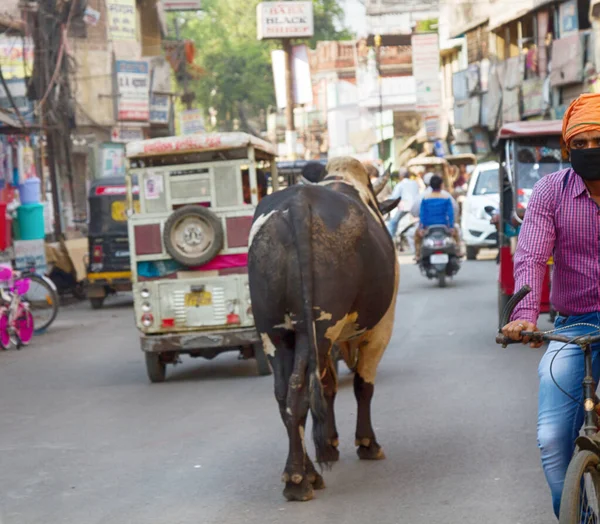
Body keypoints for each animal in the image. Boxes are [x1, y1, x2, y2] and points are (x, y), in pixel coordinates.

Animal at [246, 158, 400, 502]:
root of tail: (297, 203)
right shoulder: (380, 330)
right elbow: (362, 386)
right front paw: (367, 443)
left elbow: (328, 388)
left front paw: (330, 444)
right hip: (316, 329)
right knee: (300, 391)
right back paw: (299, 479)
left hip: (274, 332)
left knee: (286, 395)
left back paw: (303, 474)